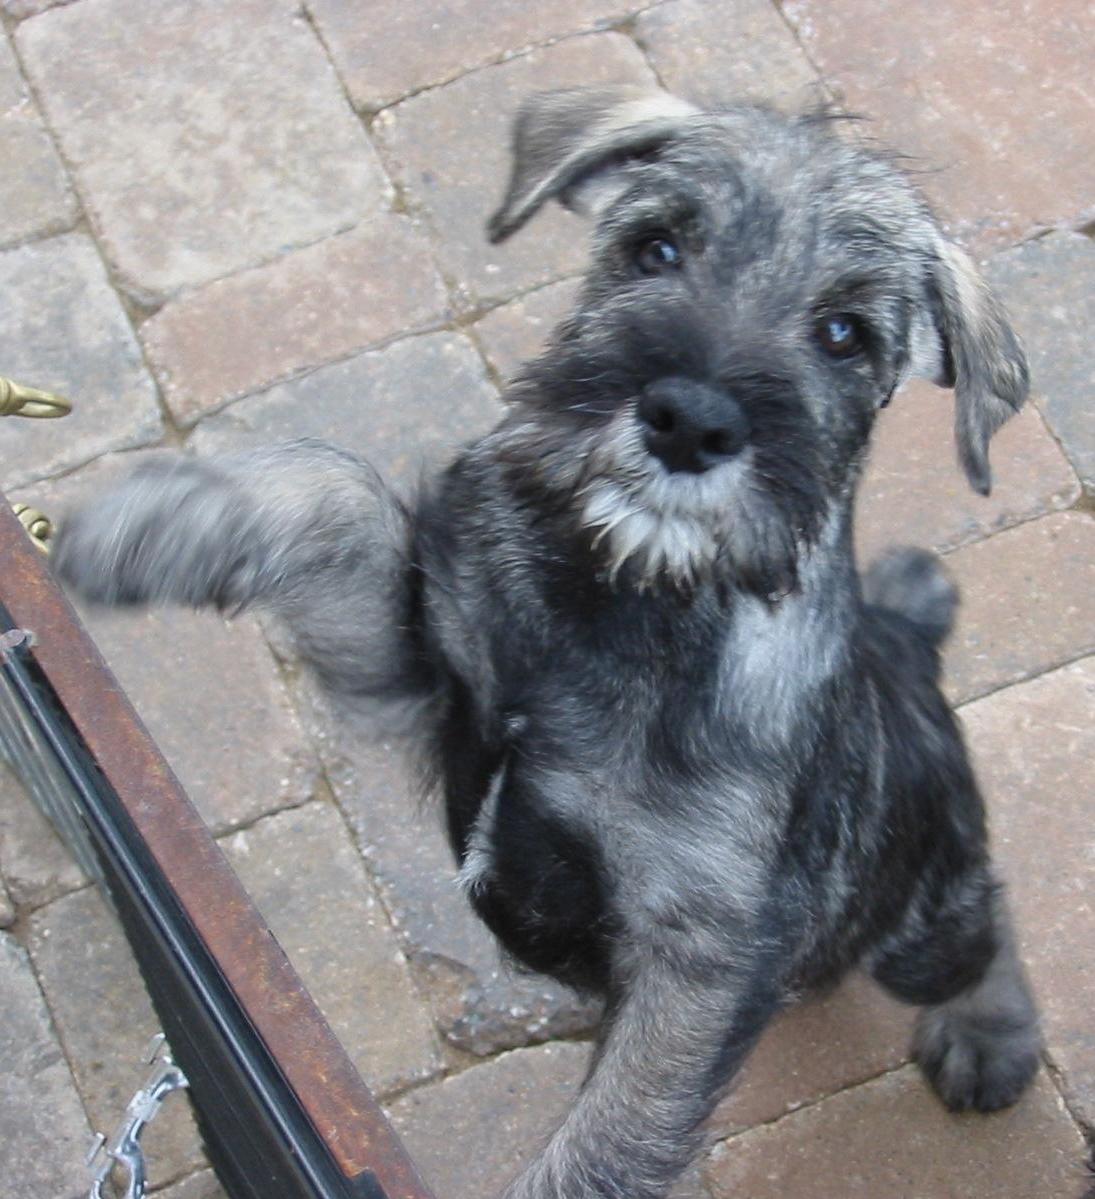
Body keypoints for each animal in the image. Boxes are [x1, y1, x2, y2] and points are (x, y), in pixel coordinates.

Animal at [55, 86, 1036, 1199]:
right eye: (655, 246)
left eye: (843, 334)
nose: (689, 420)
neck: (620, 598)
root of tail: (905, 636)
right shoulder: (420, 681)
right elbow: (342, 493)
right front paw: (159, 520)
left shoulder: (696, 950)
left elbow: (606, 1142)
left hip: (916, 912)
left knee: (983, 929)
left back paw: (988, 1039)